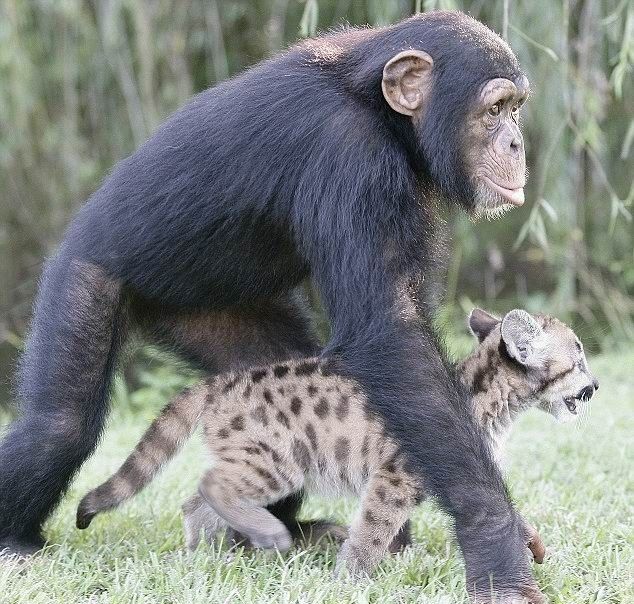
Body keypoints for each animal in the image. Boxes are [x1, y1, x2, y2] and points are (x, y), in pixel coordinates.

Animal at [2, 10, 540, 604]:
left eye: (515, 108)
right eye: (494, 110)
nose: (517, 142)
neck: (379, 110)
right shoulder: (349, 155)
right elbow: (390, 335)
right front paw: (497, 545)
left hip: (223, 320)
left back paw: (276, 532)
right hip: (83, 275)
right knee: (58, 428)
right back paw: (18, 540)